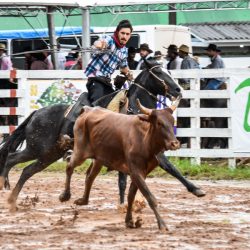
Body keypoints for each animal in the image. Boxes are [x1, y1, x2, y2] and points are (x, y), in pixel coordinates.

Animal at [0, 58, 204, 209]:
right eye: (159, 72)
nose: (178, 90)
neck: (134, 110)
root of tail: (36, 113)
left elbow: (171, 168)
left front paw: (196, 189)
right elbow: (123, 179)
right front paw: (122, 204)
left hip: (50, 153)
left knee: (26, 170)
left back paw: (11, 197)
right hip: (38, 149)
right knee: (11, 159)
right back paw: (5, 185)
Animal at [59, 99, 181, 230]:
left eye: (172, 122)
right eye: (159, 123)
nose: (174, 143)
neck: (145, 140)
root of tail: (87, 109)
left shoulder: (141, 173)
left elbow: (131, 196)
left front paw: (129, 220)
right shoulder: (136, 171)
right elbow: (150, 197)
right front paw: (162, 224)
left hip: (98, 159)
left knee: (89, 177)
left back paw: (83, 200)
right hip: (80, 152)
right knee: (69, 166)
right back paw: (65, 195)